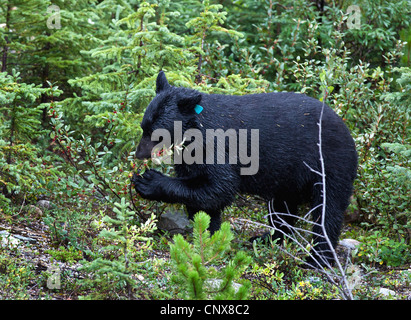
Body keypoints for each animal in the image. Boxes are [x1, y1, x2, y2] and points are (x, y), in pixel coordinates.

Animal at [132, 71, 358, 266]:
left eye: (157, 134)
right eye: (144, 127)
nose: (139, 153)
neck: (194, 130)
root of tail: (348, 130)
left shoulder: (217, 147)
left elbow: (219, 187)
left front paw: (149, 182)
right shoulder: (190, 155)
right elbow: (204, 197)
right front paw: (209, 236)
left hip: (331, 164)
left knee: (327, 211)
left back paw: (317, 259)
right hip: (288, 177)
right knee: (282, 208)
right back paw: (269, 238)